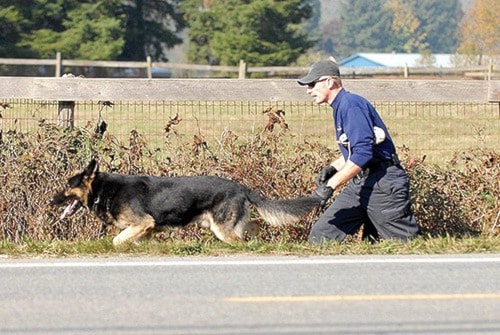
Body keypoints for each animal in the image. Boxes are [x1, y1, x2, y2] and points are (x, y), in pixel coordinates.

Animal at [49, 159, 320, 245]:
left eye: (68, 186)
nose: (51, 200)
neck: (102, 190)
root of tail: (241, 187)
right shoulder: (144, 229)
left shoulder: (143, 223)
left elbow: (117, 240)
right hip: (220, 224)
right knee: (254, 225)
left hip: (222, 229)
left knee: (240, 238)